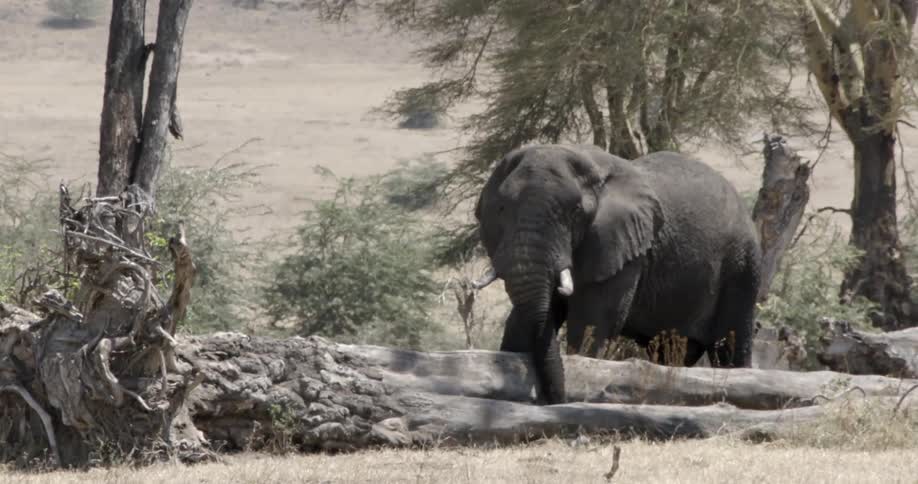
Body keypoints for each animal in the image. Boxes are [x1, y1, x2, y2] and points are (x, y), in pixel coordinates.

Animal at [473, 143, 762, 405]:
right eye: (501, 209)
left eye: (576, 212)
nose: (554, 399)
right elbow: (524, 320)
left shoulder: (623, 249)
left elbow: (592, 322)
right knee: (670, 351)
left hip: (742, 264)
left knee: (730, 346)